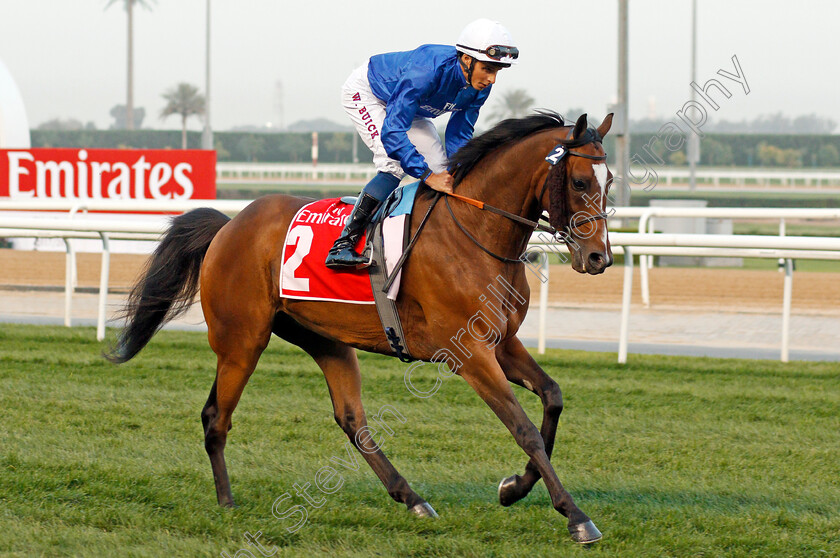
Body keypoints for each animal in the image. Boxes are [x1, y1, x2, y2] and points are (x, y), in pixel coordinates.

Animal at [108, 111, 612, 544]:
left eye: (609, 183)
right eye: (580, 181)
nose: (598, 258)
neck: (475, 230)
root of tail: (230, 225)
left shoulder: (501, 343)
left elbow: (552, 398)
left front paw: (514, 487)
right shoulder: (468, 351)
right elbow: (524, 428)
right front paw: (577, 516)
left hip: (324, 340)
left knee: (353, 420)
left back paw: (412, 499)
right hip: (241, 341)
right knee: (217, 416)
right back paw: (227, 503)